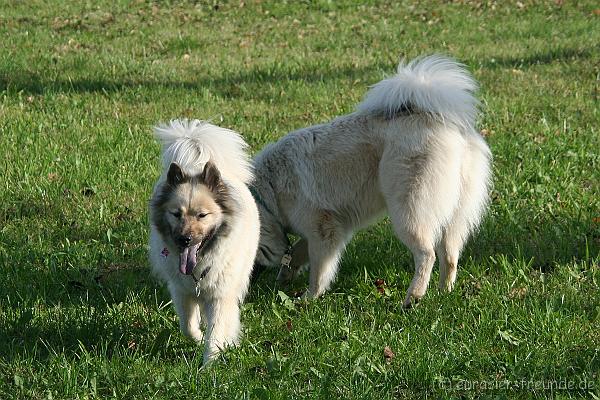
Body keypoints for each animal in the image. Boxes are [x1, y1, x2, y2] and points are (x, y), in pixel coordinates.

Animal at [149, 119, 258, 362]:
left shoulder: (220, 296)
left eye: (202, 215)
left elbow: (215, 332)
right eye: (176, 214)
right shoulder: (181, 292)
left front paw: (209, 363)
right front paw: (198, 339)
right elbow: (187, 327)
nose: (184, 240)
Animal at [253, 55, 492, 306]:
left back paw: (413, 297)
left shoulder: (323, 230)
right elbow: (297, 252)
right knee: (450, 255)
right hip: (454, 216)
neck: (269, 192)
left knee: (427, 254)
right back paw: (443, 292)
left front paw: (310, 296)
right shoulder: (330, 227)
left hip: (408, 211)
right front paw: (285, 277)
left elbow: (318, 270)